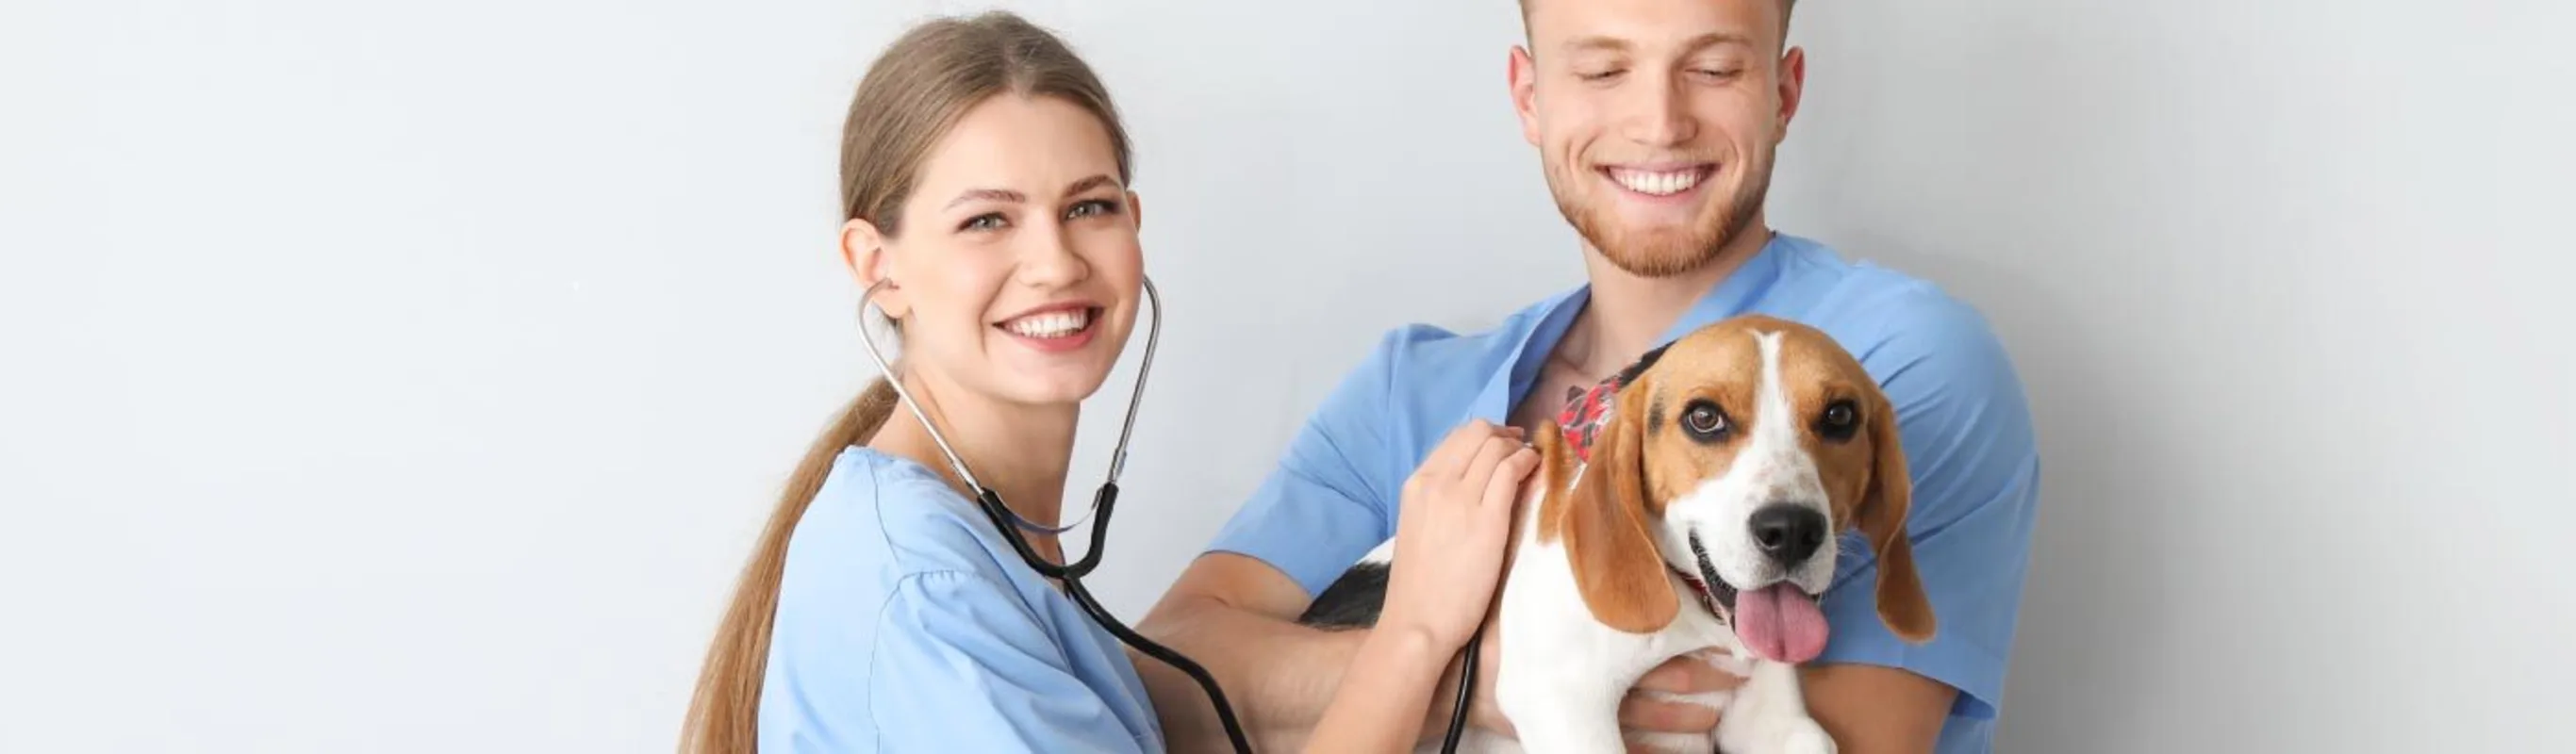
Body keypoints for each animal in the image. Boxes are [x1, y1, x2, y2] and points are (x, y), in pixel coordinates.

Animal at [1297, 312, 1926, 751]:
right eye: (1704, 417)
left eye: (1841, 416)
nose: (1792, 530)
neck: (1694, 608)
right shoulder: (1562, 698)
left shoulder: (1776, 724)